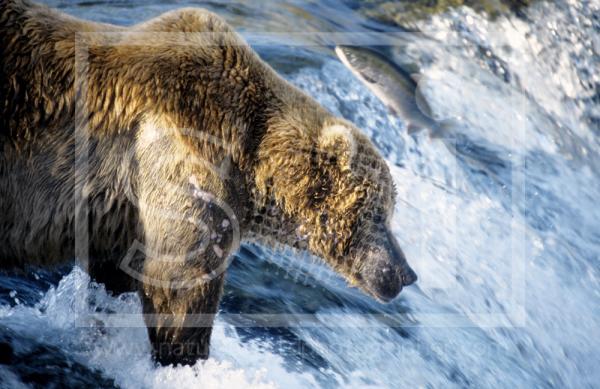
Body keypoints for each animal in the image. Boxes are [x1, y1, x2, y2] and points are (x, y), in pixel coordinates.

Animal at [0, 0, 418, 364]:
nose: (407, 273)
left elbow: (119, 272)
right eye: (380, 214)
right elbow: (179, 283)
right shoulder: (186, 164)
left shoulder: (122, 212)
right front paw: (186, 356)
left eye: (390, 211)